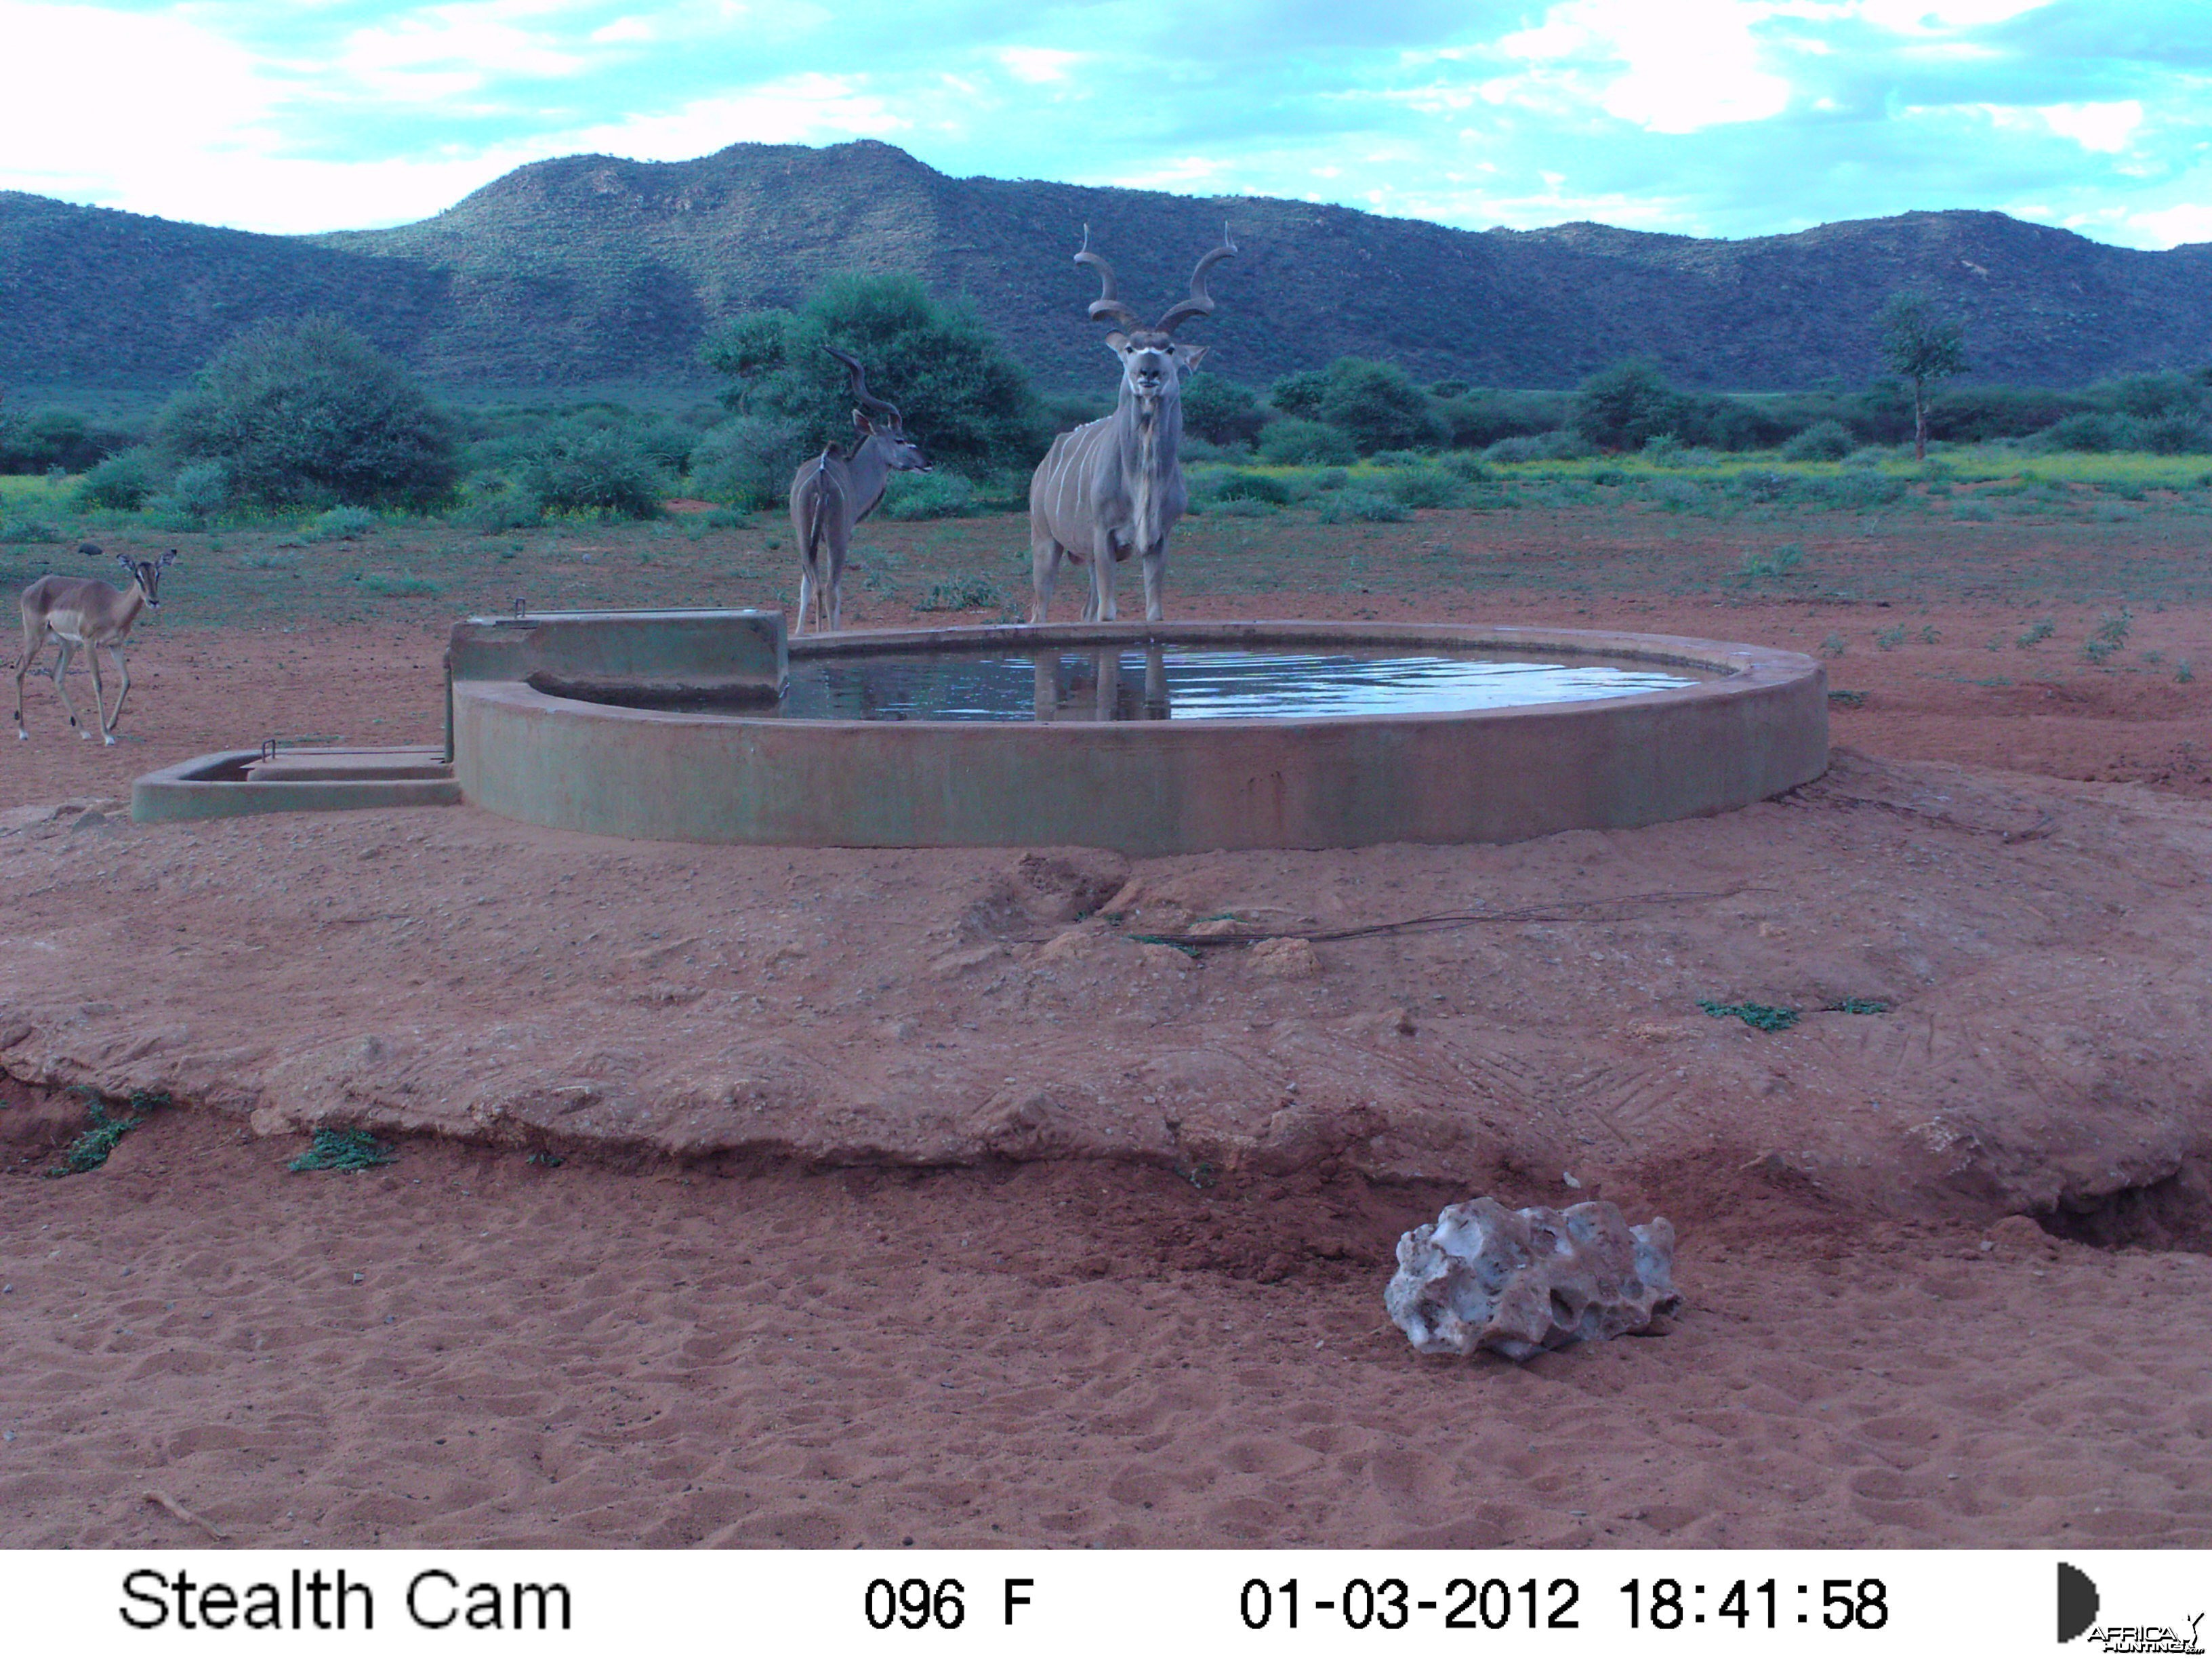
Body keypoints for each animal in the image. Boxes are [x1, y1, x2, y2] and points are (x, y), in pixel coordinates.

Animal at [792, 347, 928, 632]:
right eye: (900, 440)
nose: (927, 461)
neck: (851, 471)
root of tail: (821, 481)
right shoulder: (843, 535)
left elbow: (805, 587)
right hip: (837, 538)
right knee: (830, 588)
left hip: (804, 537)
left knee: (813, 585)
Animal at [1026, 228, 1238, 623]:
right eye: (1130, 349)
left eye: (1169, 349)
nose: (1148, 373)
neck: (1141, 479)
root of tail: (1044, 463)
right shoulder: (1103, 535)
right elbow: (1108, 614)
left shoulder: (1159, 540)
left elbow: (1151, 613)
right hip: (1045, 541)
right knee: (1040, 609)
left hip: (1085, 558)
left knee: (1086, 610)